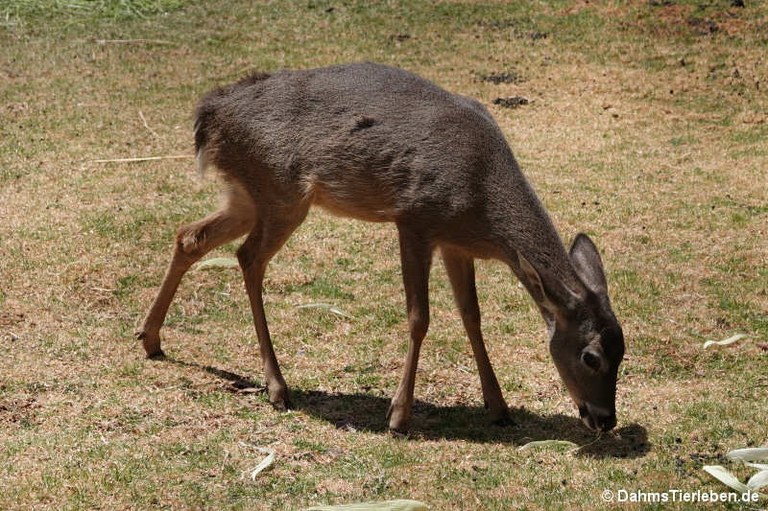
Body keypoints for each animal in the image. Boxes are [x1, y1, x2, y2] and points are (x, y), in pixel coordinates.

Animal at [138, 62, 628, 434]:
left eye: (624, 351)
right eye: (591, 357)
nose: (605, 419)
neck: (481, 202)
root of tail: (209, 114)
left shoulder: (456, 242)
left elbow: (472, 317)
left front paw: (499, 407)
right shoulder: (415, 218)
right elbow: (419, 318)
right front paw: (398, 416)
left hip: (247, 194)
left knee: (190, 236)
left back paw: (150, 339)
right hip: (281, 192)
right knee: (247, 257)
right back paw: (278, 387)